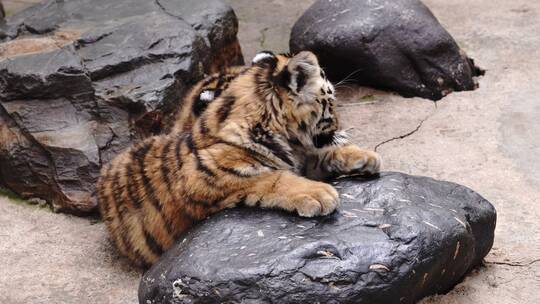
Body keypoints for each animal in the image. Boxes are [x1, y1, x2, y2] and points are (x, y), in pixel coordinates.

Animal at [98, 51, 384, 268]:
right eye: (331, 103)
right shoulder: (200, 178)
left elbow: (321, 155)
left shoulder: (304, 158)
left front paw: (364, 156)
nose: (340, 124)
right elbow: (273, 177)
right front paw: (319, 194)